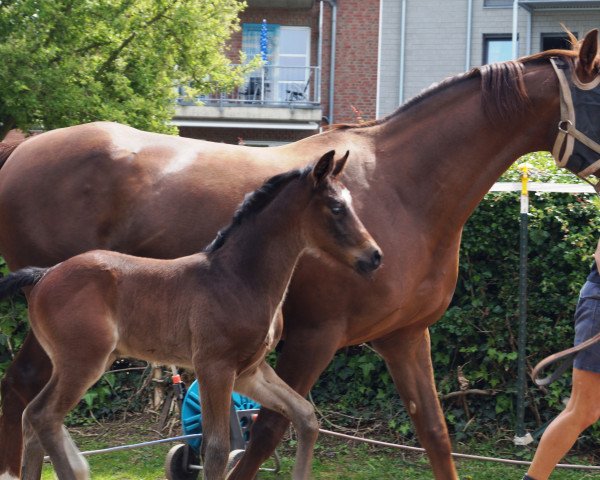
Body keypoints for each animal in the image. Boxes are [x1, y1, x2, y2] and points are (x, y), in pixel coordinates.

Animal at [0, 151, 382, 480]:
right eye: (336, 207)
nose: (374, 256)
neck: (238, 277)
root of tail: (45, 275)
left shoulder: (250, 372)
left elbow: (305, 416)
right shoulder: (214, 366)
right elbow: (216, 449)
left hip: (79, 361)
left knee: (32, 416)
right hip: (83, 362)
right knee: (43, 415)